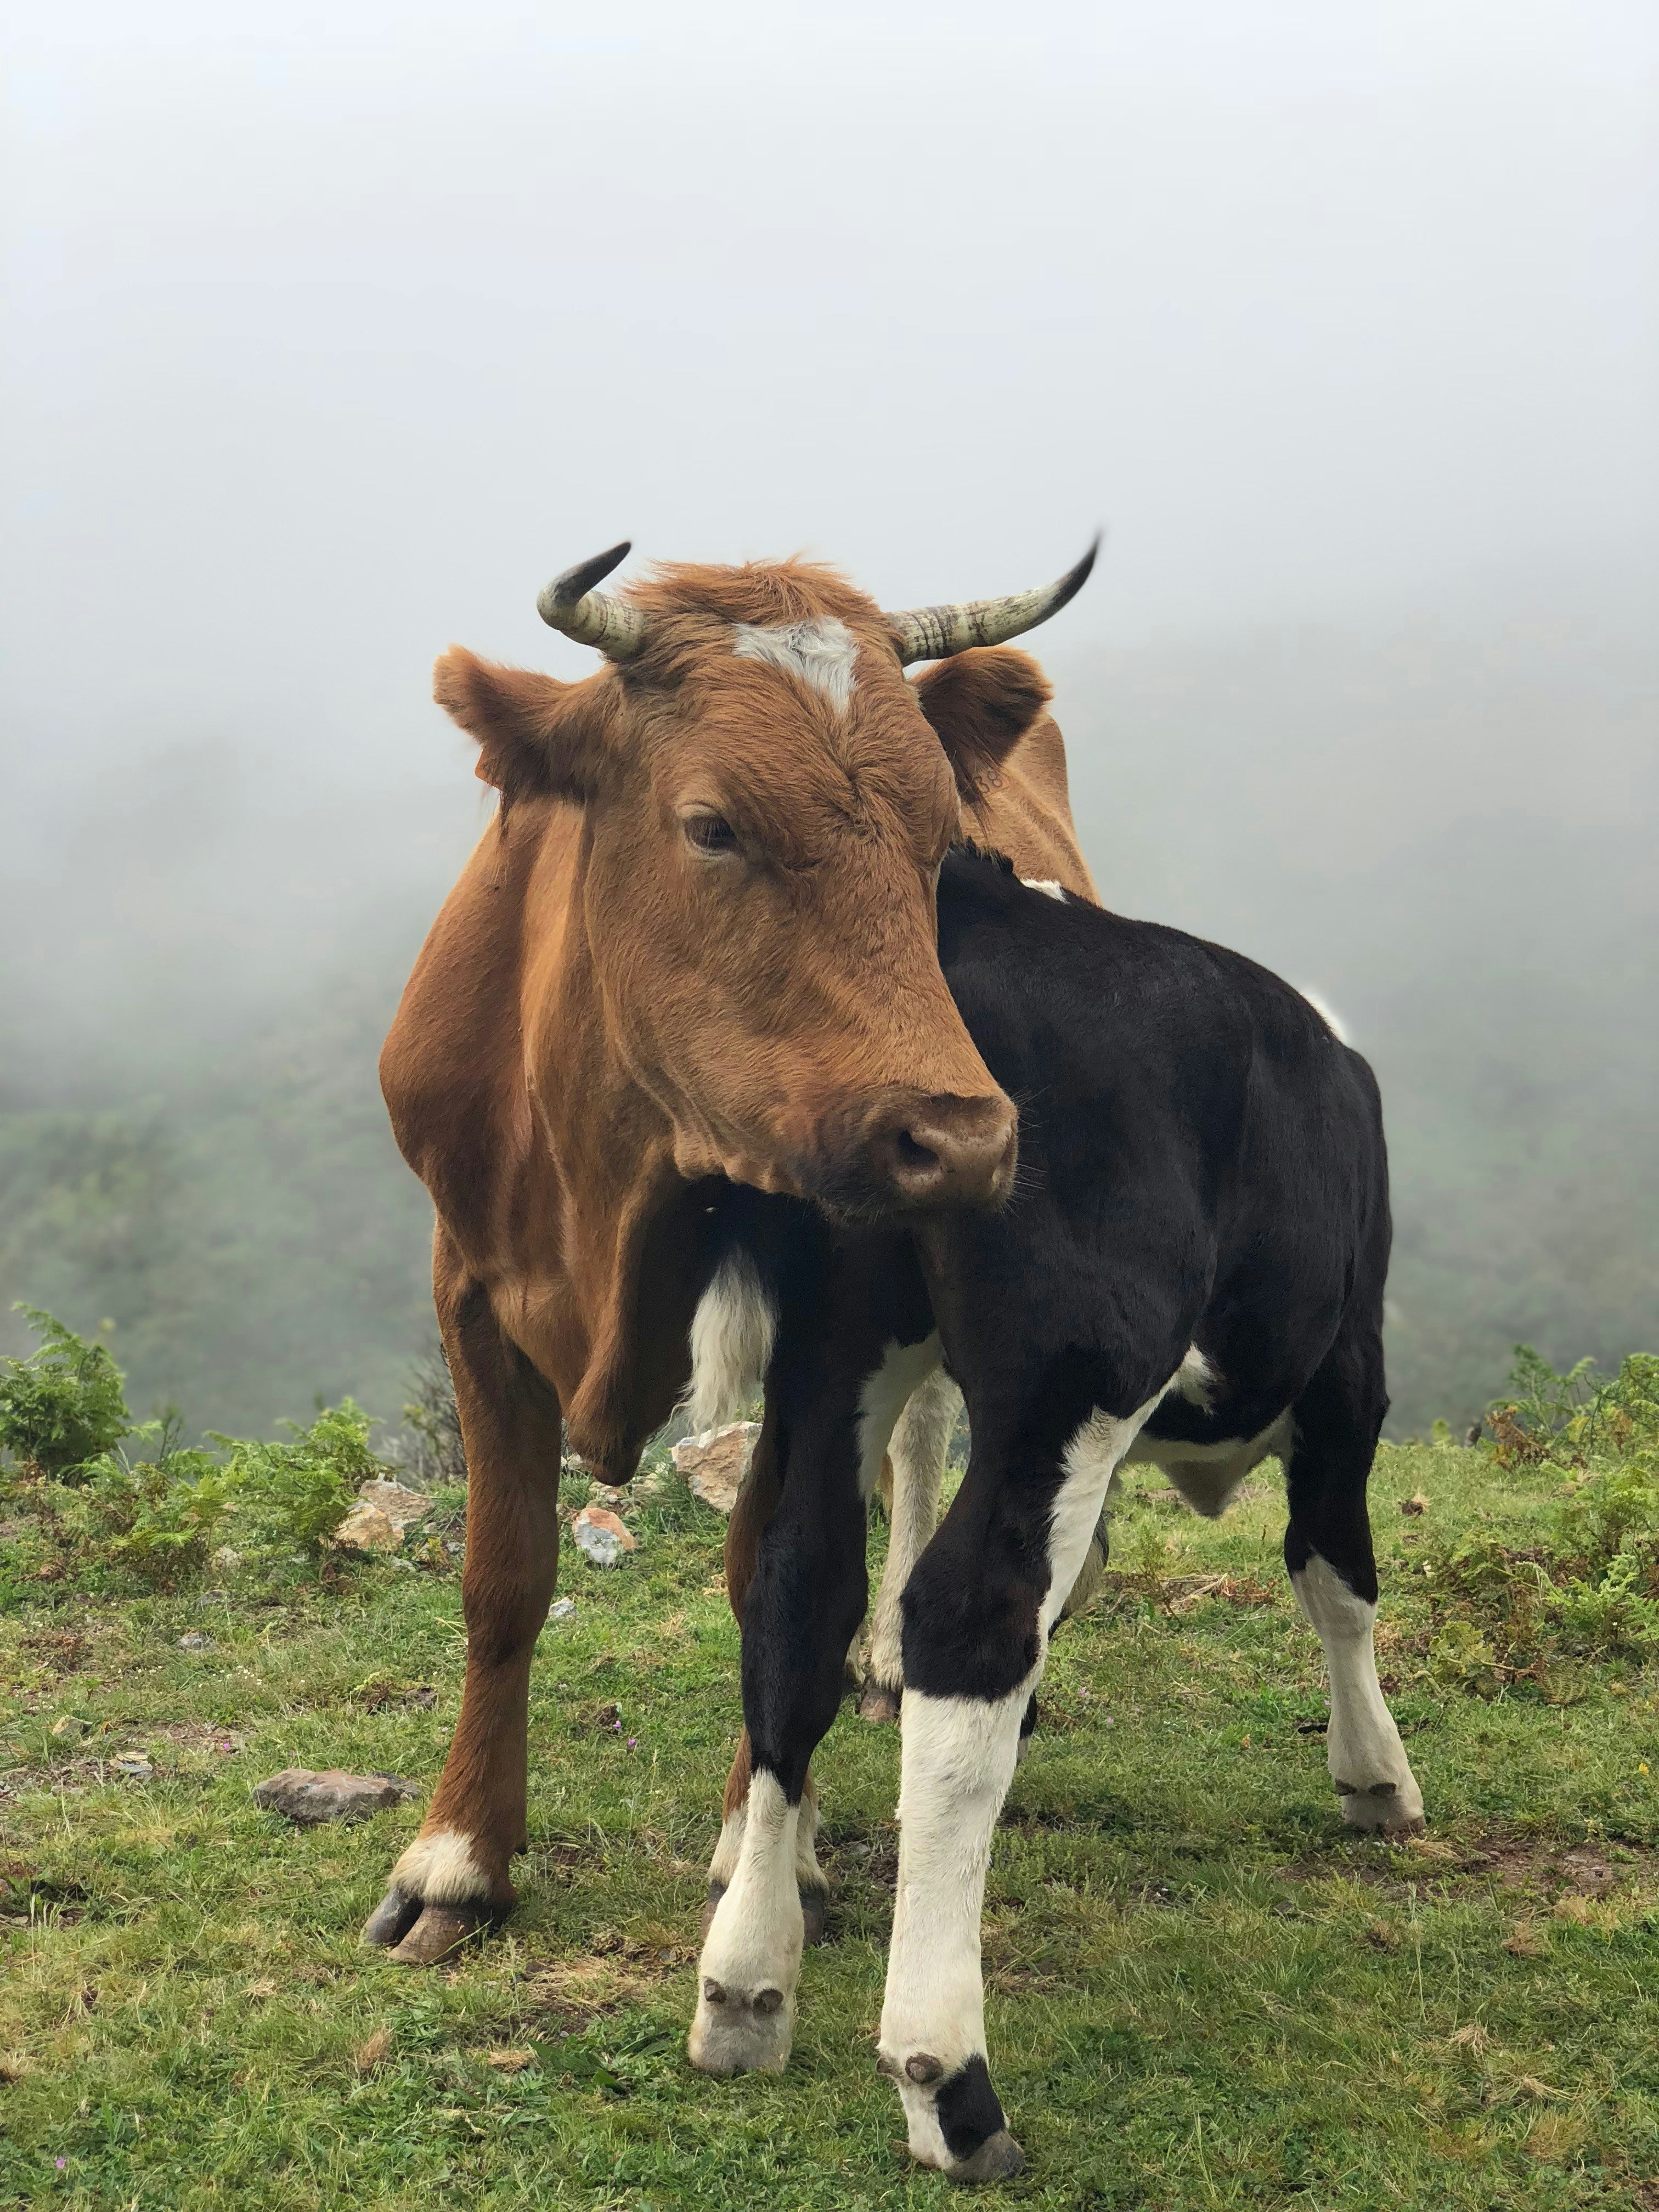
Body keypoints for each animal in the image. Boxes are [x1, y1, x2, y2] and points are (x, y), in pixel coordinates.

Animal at [363, 543, 1099, 1965]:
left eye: (944, 849)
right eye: (712, 826)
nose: (967, 1139)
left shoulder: (827, 1312)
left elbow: (778, 1577)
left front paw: (767, 1850)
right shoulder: (465, 1282)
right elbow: (502, 1578)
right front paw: (458, 1854)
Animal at [685, 845, 1422, 2182]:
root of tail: (974, 904)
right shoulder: (1350, 1368)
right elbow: (1336, 1578)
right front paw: (1375, 1775)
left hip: (834, 1352)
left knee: (796, 1594)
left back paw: (746, 1984)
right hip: (1077, 1366)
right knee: (966, 1615)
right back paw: (946, 2081)